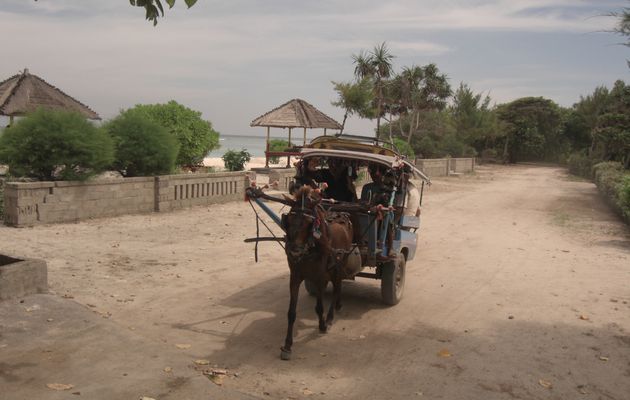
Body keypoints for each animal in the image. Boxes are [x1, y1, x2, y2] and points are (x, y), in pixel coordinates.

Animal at [282, 186, 356, 360]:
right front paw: (287, 345)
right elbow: (291, 312)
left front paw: (322, 324)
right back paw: (338, 304)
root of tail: (343, 215)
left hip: (339, 265)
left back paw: (330, 317)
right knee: (338, 286)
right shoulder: (294, 277)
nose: (294, 251)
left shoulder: (320, 278)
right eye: (288, 219)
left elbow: (319, 307)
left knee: (336, 288)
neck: (309, 248)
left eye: (310, 223)